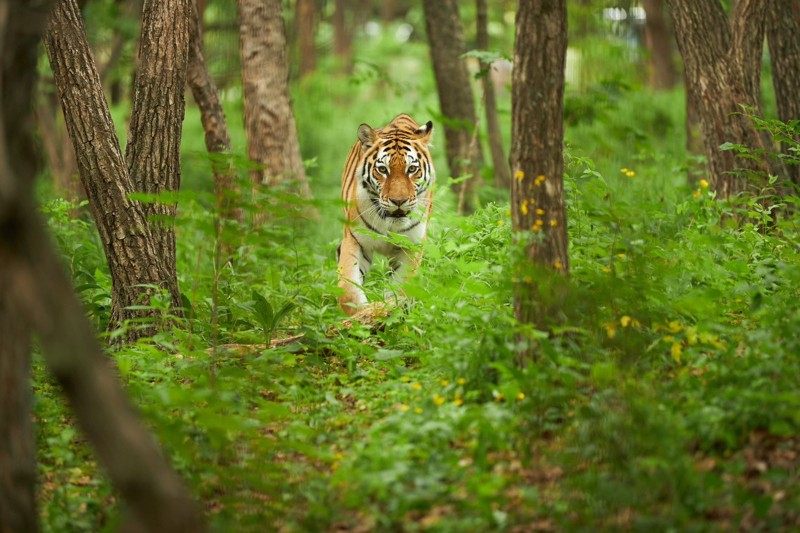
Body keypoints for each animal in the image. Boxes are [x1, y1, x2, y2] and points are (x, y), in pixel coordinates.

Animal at [338, 112, 438, 312]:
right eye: (383, 169)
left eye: (412, 169)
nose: (398, 201)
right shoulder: (354, 239)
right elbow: (348, 290)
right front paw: (361, 315)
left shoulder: (411, 245)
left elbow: (401, 289)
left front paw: (392, 310)